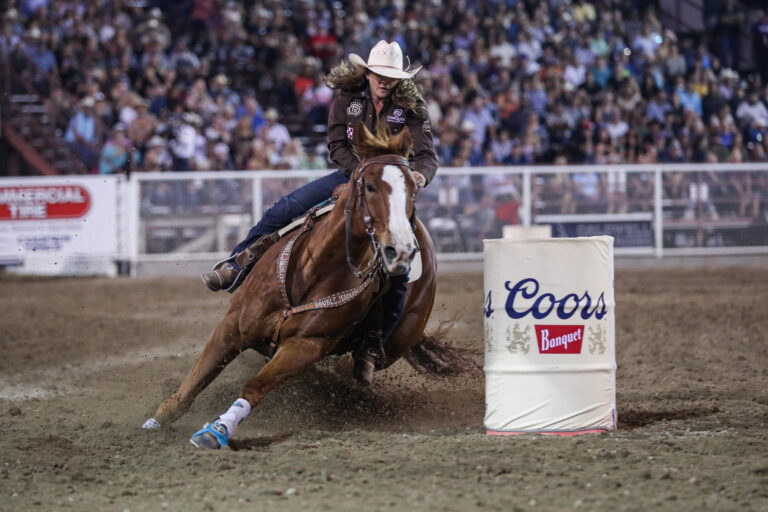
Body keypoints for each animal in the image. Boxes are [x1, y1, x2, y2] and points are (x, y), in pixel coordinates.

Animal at [140, 125, 462, 448]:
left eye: (412, 190)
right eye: (370, 186)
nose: (403, 249)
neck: (313, 269)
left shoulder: (306, 346)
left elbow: (254, 387)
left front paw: (216, 430)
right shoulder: (232, 327)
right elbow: (196, 380)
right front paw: (156, 421)